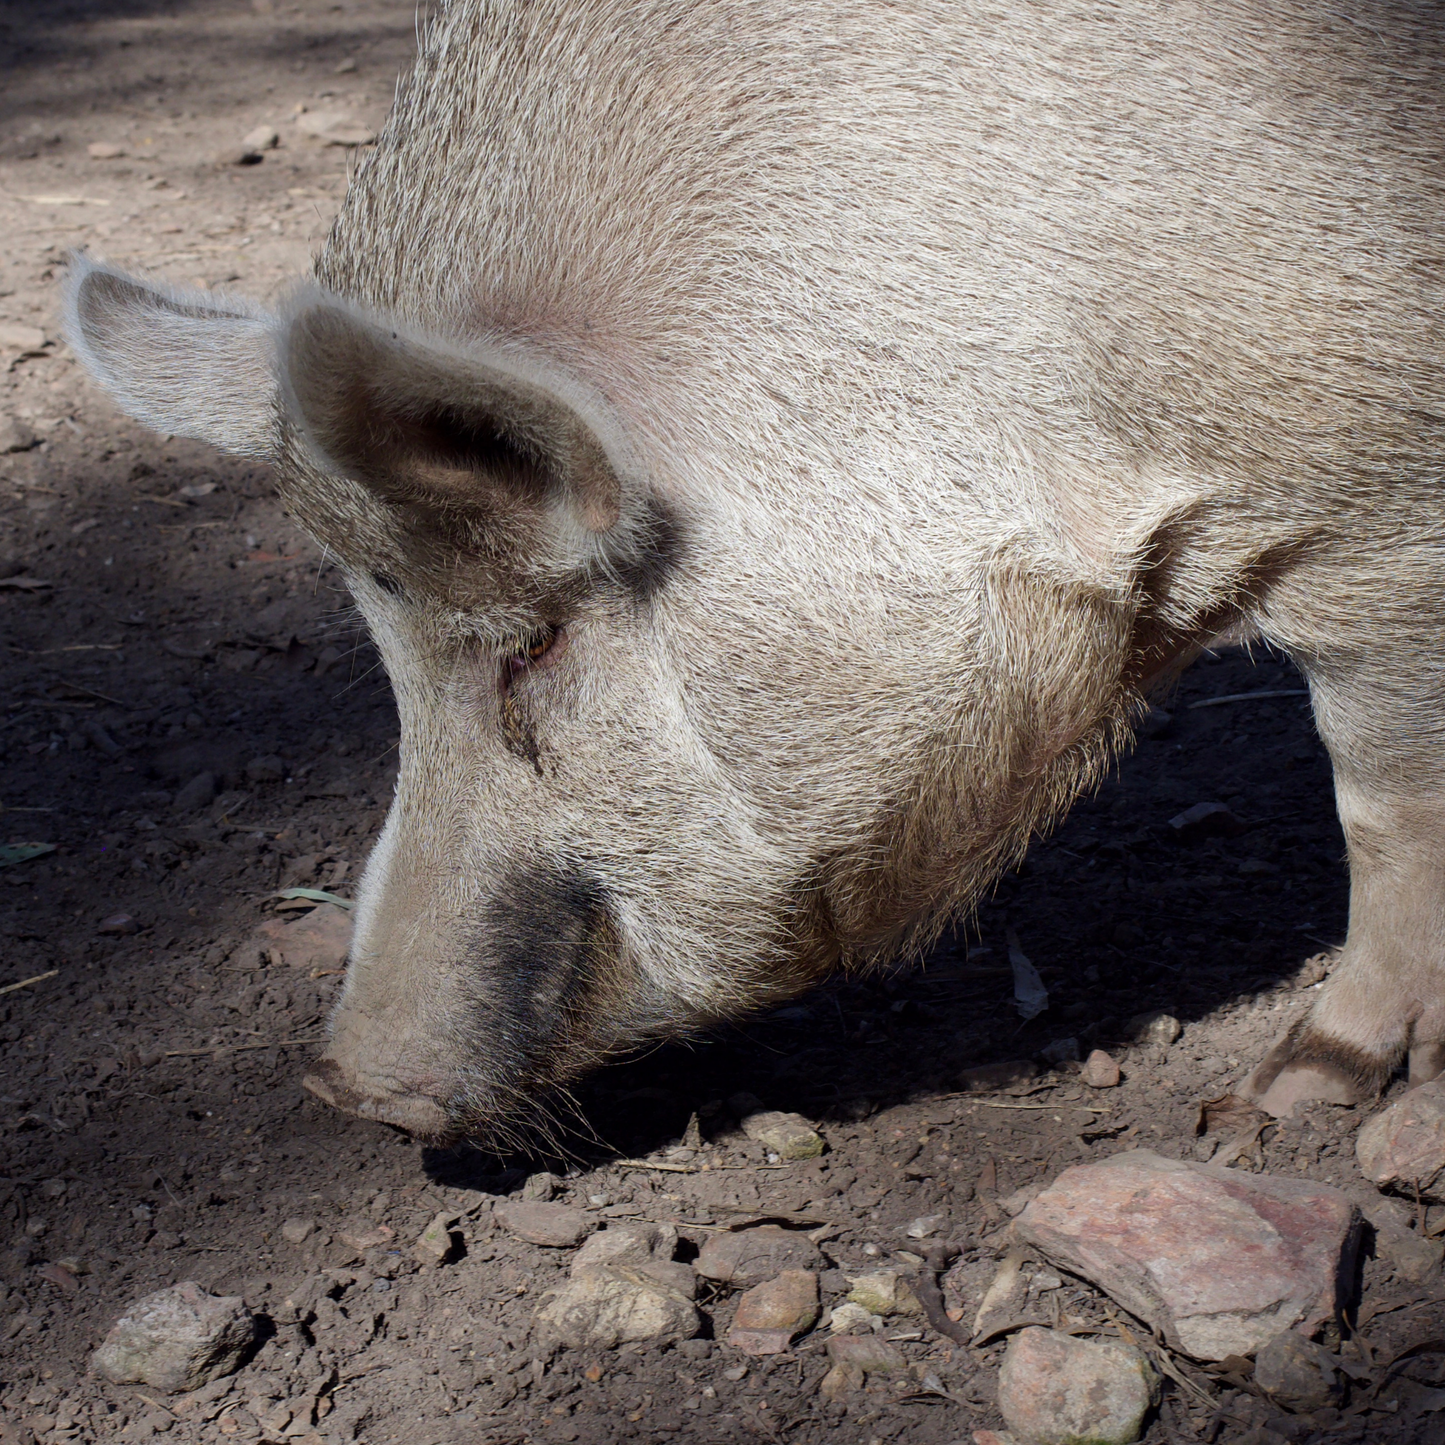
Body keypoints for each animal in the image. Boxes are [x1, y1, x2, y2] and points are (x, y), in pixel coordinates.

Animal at [64, 0, 1445, 1138]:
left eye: (533, 640)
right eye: (384, 653)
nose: (343, 1085)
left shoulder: (1375, 506)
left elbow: (1379, 804)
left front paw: (1290, 1093)